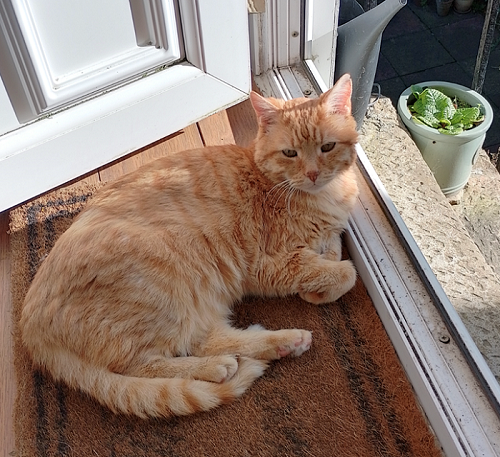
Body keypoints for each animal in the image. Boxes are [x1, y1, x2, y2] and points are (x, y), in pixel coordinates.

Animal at [21, 74, 358, 416]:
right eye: (290, 153)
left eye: (327, 147)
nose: (313, 173)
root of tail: (30, 329)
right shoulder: (267, 267)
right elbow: (345, 273)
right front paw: (320, 286)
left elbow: (333, 244)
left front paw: (324, 261)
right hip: (166, 288)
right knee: (147, 363)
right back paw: (219, 367)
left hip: (196, 303)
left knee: (205, 340)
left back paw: (283, 343)